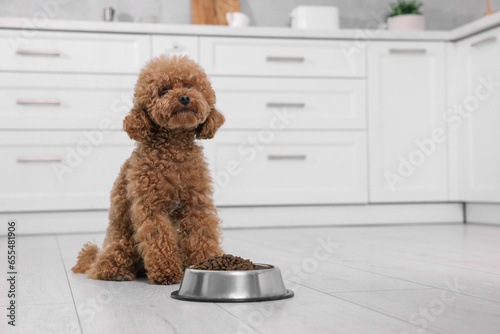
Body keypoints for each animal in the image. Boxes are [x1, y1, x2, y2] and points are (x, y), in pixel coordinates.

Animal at [71, 54, 225, 284]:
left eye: (190, 86)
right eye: (164, 90)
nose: (184, 98)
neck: (174, 151)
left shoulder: (196, 204)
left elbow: (202, 235)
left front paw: (209, 263)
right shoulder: (151, 207)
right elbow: (158, 238)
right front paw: (167, 272)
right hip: (122, 243)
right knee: (104, 267)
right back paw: (118, 272)